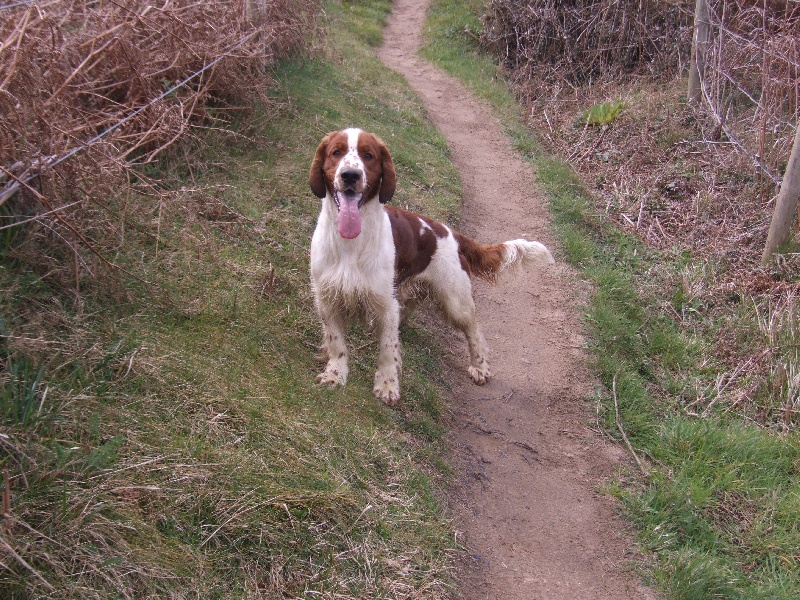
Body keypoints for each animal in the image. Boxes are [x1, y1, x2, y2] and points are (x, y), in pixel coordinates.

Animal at [309, 127, 554, 406]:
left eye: (368, 155)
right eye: (336, 152)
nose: (350, 175)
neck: (350, 243)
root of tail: (452, 233)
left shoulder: (384, 302)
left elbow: (387, 350)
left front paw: (387, 386)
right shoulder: (327, 298)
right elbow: (337, 343)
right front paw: (335, 375)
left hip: (456, 301)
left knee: (474, 329)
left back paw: (480, 367)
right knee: (406, 312)